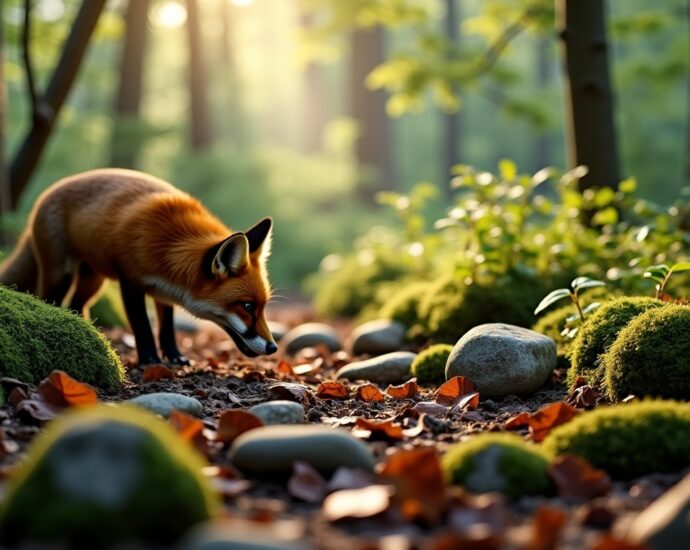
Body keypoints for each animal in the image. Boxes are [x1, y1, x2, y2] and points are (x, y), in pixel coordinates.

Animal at [0, 168, 278, 365]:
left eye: (263, 306)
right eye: (247, 306)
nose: (273, 347)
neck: (171, 243)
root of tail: (46, 194)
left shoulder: (163, 291)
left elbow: (166, 327)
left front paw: (174, 356)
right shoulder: (129, 280)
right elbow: (142, 324)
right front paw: (149, 359)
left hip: (93, 282)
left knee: (78, 305)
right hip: (61, 274)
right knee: (49, 299)